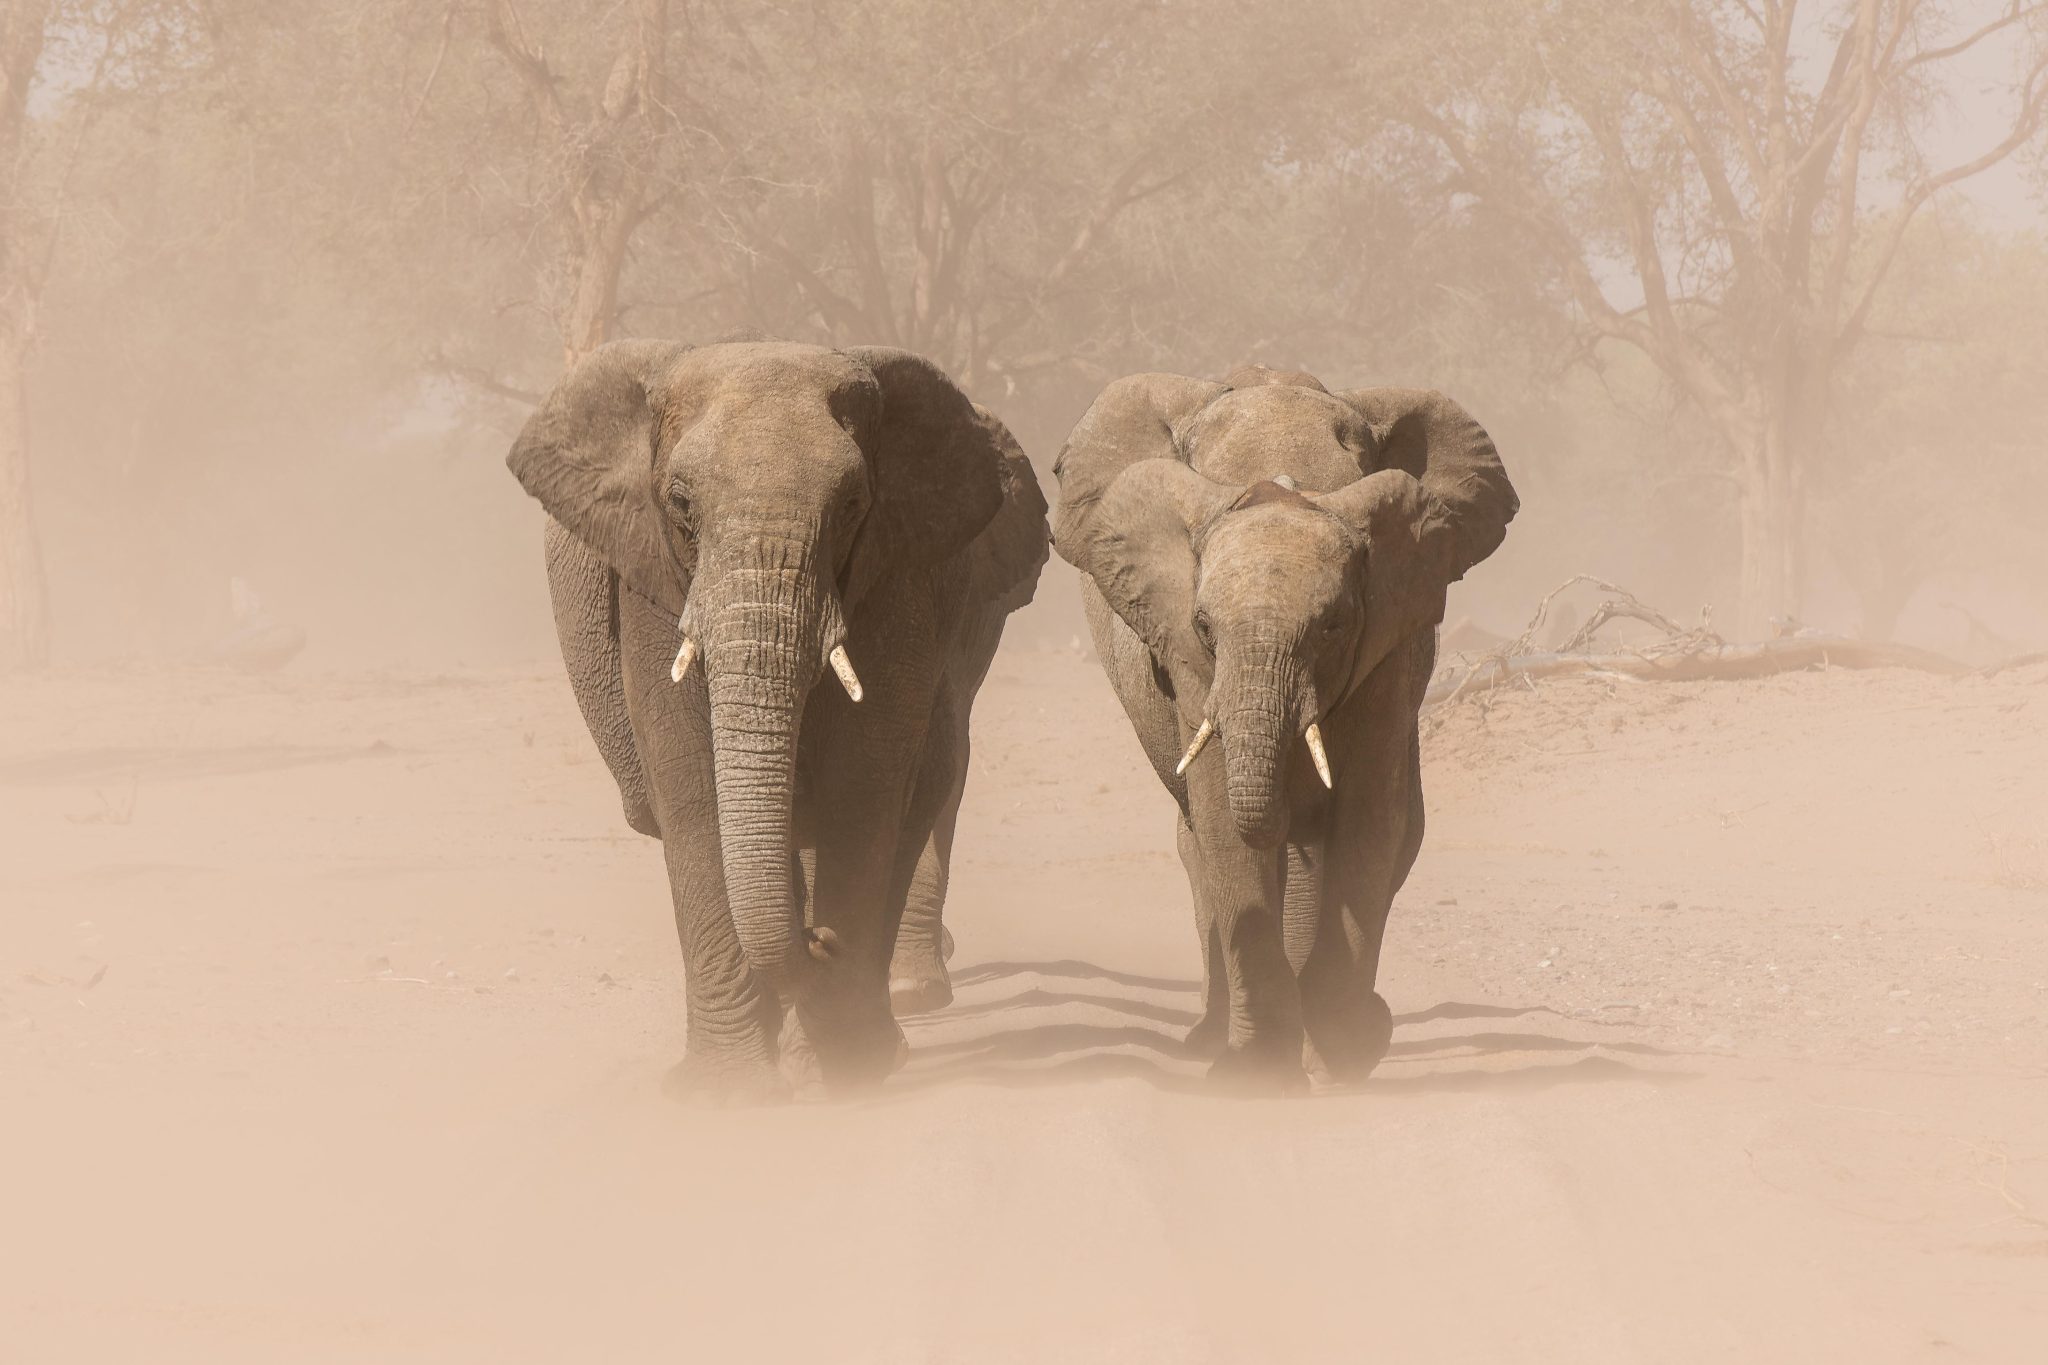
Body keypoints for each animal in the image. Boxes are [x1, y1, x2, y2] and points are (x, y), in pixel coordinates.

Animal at [505, 341, 1048, 1096]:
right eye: (680, 504)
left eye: (851, 505)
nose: (820, 943)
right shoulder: (654, 578)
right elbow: (689, 779)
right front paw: (727, 1091)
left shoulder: (901, 580)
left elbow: (866, 775)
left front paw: (842, 1070)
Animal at [1056, 362, 1523, 1088]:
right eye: (1203, 626)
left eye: (1333, 625)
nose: (1275, 492)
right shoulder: (1188, 662)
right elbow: (1220, 814)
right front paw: (1258, 1076)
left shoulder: (1393, 634)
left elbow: (1371, 815)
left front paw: (1340, 1056)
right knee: (1198, 843)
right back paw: (1214, 1039)